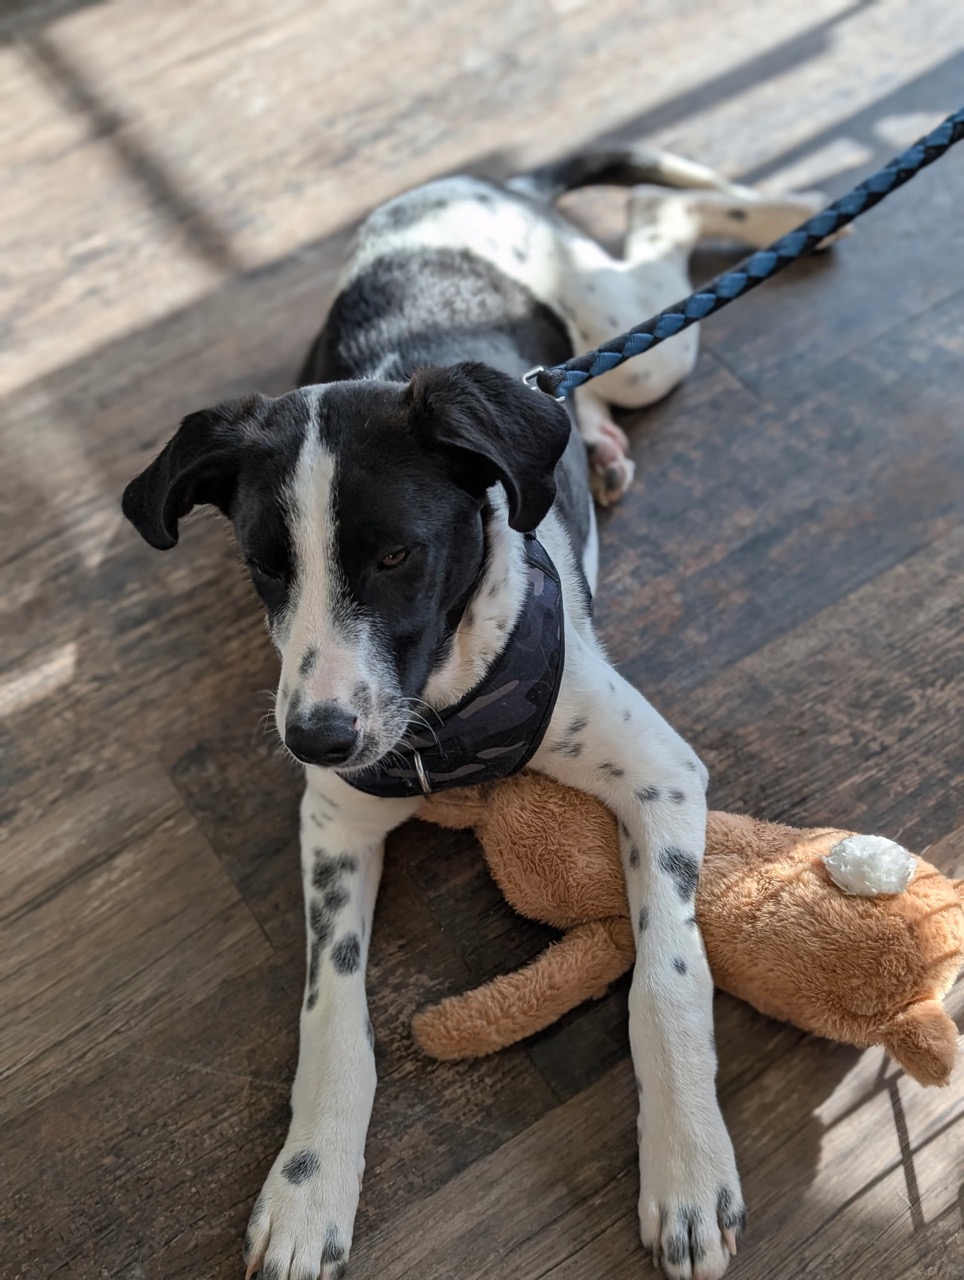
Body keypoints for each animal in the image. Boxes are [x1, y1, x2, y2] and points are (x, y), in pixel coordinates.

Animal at [122, 147, 827, 1280]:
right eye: (265, 566)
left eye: (396, 553)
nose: (313, 739)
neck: (443, 716)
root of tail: (491, 178)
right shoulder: (334, 820)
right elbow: (331, 1014)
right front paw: (308, 1184)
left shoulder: (659, 770)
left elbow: (668, 975)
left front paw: (685, 1163)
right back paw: (595, 439)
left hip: (639, 344)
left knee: (655, 214)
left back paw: (792, 210)